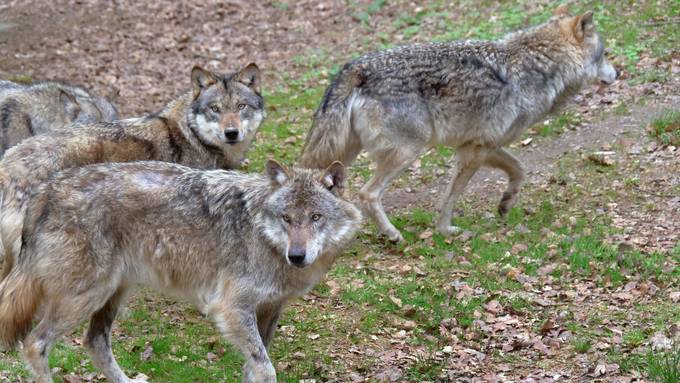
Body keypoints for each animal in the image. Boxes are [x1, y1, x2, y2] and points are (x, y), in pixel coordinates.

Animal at [0, 160, 362, 383]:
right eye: (287, 218)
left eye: (315, 217)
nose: (297, 256)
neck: (263, 235)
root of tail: (44, 192)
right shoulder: (231, 309)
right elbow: (266, 370)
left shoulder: (270, 308)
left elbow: (254, 368)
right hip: (86, 297)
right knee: (34, 343)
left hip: (113, 294)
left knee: (95, 343)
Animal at [300, 6, 620, 242]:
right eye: (604, 54)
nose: (617, 74)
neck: (538, 65)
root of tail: (355, 67)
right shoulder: (474, 151)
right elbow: (451, 196)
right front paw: (445, 230)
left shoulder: (480, 145)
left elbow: (519, 170)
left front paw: (505, 204)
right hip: (407, 152)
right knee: (367, 194)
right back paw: (392, 234)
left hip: (344, 156)